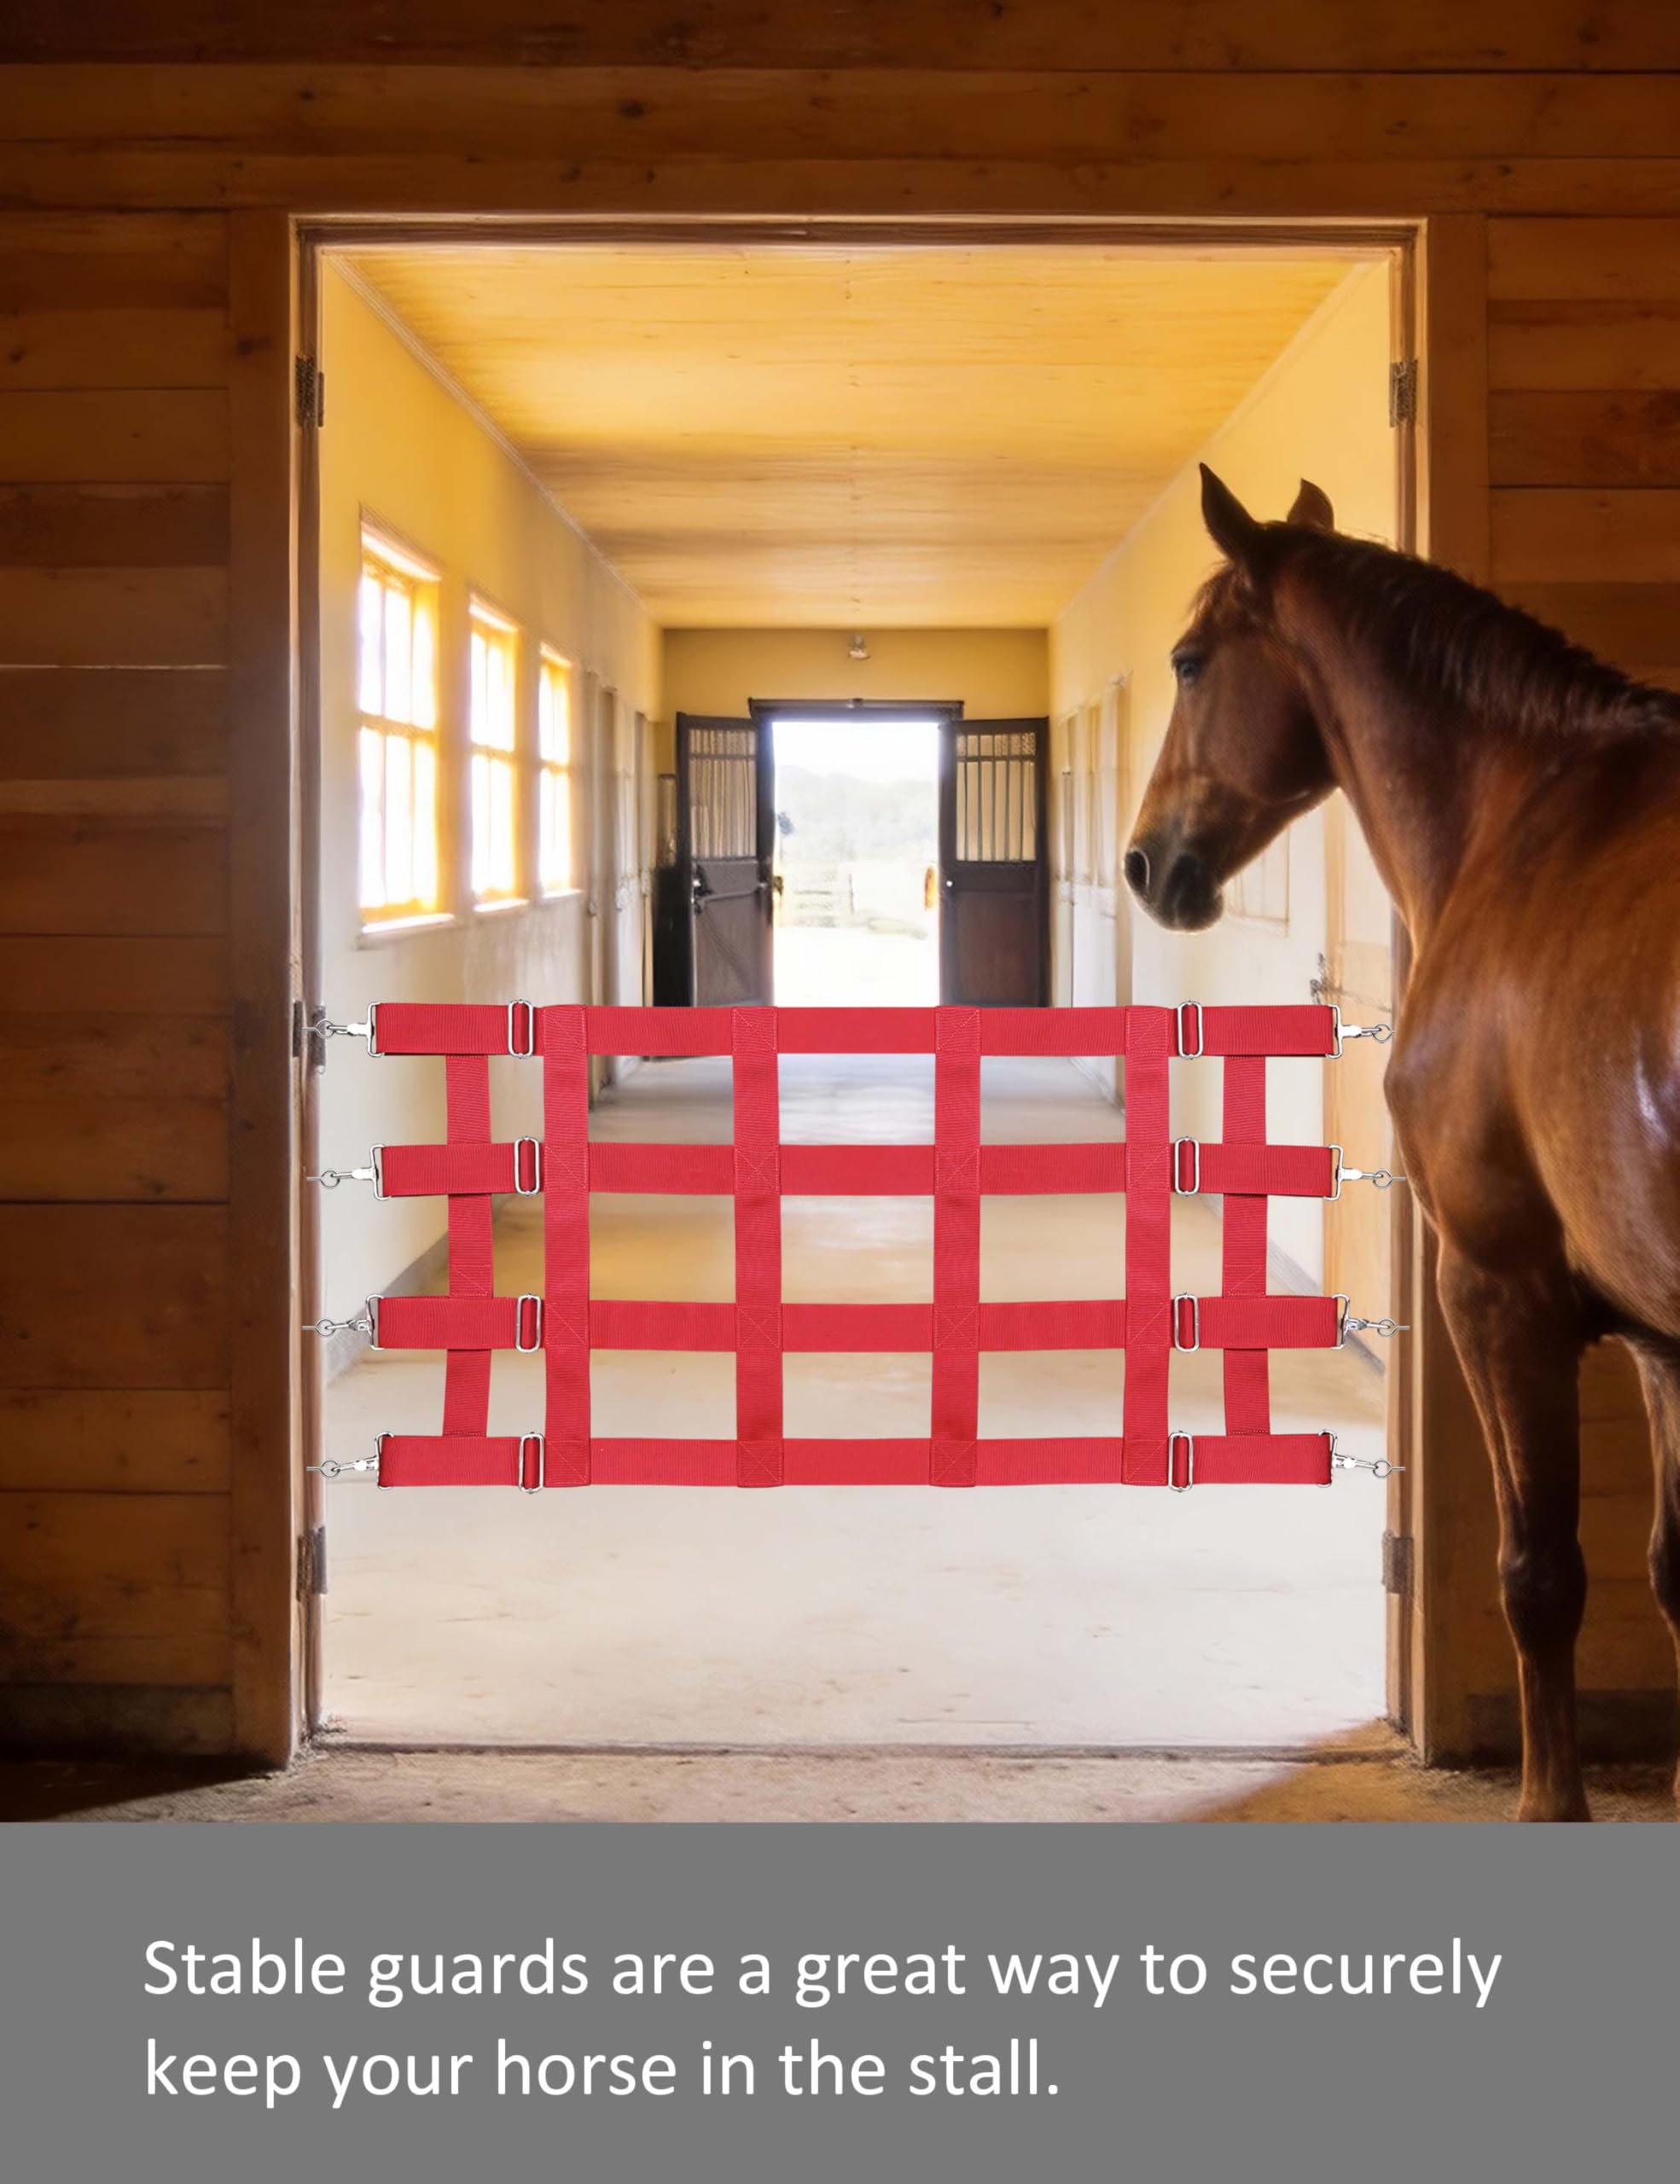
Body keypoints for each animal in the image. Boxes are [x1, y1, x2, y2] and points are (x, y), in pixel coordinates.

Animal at [1125, 464, 1680, 1823]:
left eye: (1189, 662)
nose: (1145, 863)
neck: (1522, 816)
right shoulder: (1656, 1335)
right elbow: (1674, 1575)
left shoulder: (1495, 1283)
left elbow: (1542, 1573)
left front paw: (1548, 1807)